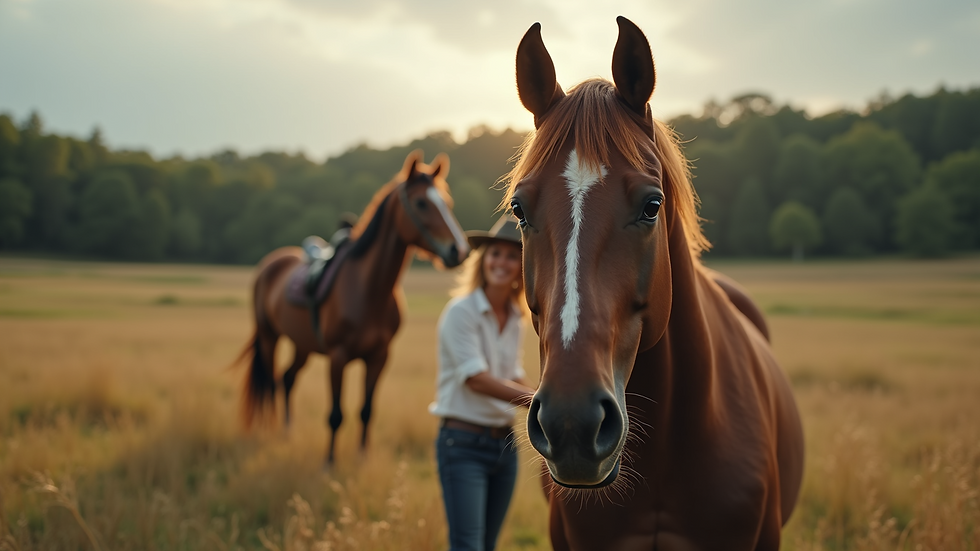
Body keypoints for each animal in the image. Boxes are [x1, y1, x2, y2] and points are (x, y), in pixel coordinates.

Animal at [240, 150, 470, 465]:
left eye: (447, 202)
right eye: (421, 203)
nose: (459, 250)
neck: (368, 291)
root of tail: (271, 263)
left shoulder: (379, 358)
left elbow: (366, 410)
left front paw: (363, 456)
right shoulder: (338, 357)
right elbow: (336, 414)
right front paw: (330, 462)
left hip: (302, 345)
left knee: (286, 379)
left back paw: (287, 432)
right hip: (269, 338)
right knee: (270, 383)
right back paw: (272, 431)